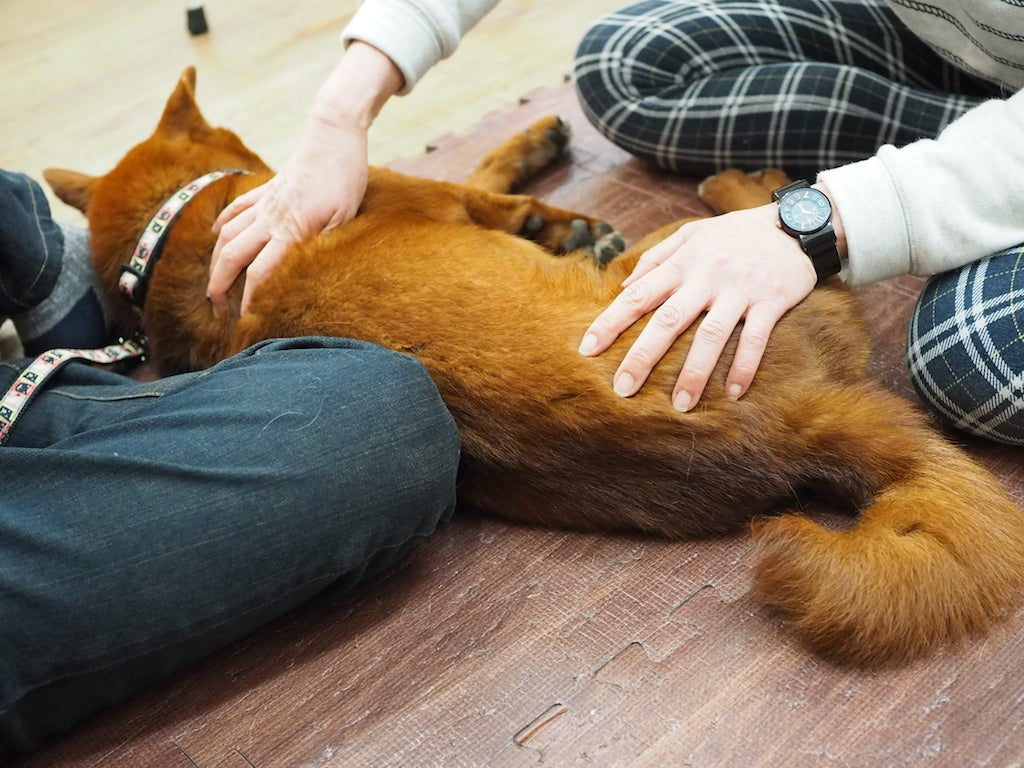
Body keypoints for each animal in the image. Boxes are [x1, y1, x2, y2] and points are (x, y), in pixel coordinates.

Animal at [44, 67, 1024, 667]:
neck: (178, 231)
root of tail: (794, 420)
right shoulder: (450, 197)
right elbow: (490, 176)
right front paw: (546, 186)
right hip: (696, 257)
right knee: (772, 221)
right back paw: (749, 184)